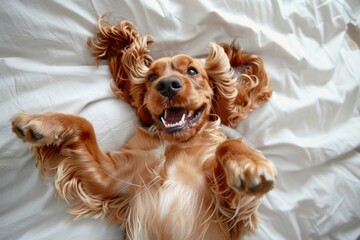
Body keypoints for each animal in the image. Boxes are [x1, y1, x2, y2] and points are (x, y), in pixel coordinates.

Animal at [10, 15, 276, 239]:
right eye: (151, 77)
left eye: (192, 70)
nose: (167, 85)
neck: (174, 147)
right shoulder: (113, 179)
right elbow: (85, 125)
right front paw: (41, 123)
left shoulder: (228, 207)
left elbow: (227, 146)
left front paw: (250, 165)